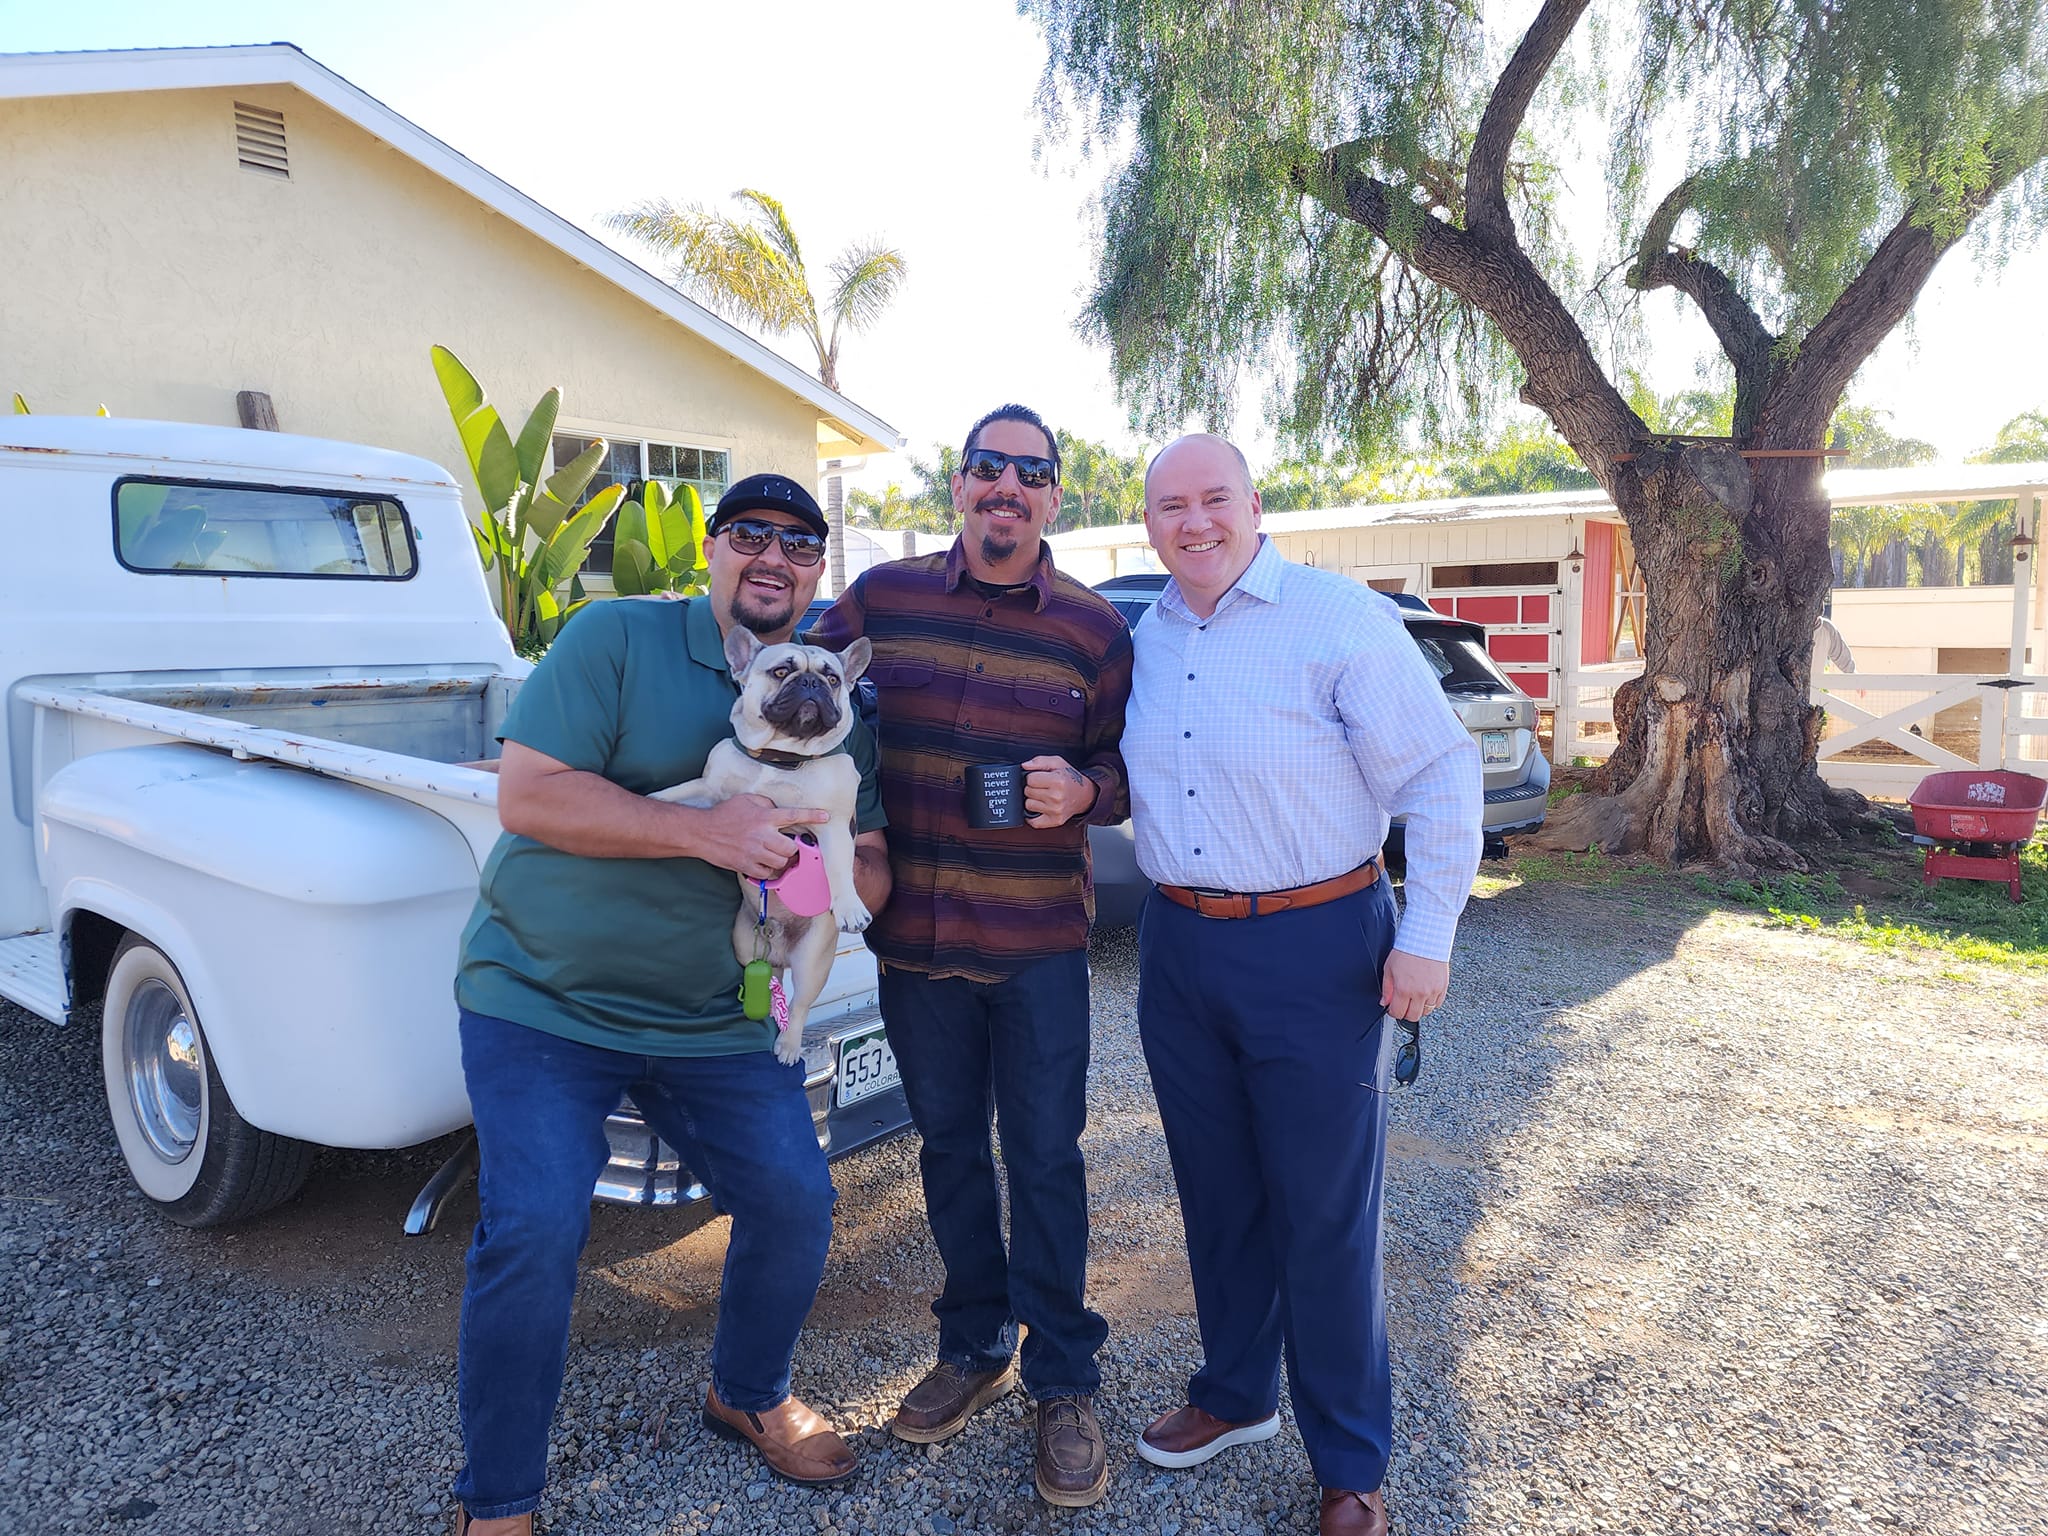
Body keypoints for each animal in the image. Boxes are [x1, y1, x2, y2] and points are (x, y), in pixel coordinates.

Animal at [652, 626, 873, 1063]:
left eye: (833, 678)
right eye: (782, 671)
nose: (811, 683)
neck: (779, 757)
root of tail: (778, 949)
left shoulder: (833, 825)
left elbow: (839, 868)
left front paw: (850, 908)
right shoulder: (708, 791)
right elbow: (674, 795)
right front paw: (647, 800)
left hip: (812, 962)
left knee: (800, 1004)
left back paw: (788, 1045)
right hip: (743, 946)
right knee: (769, 983)